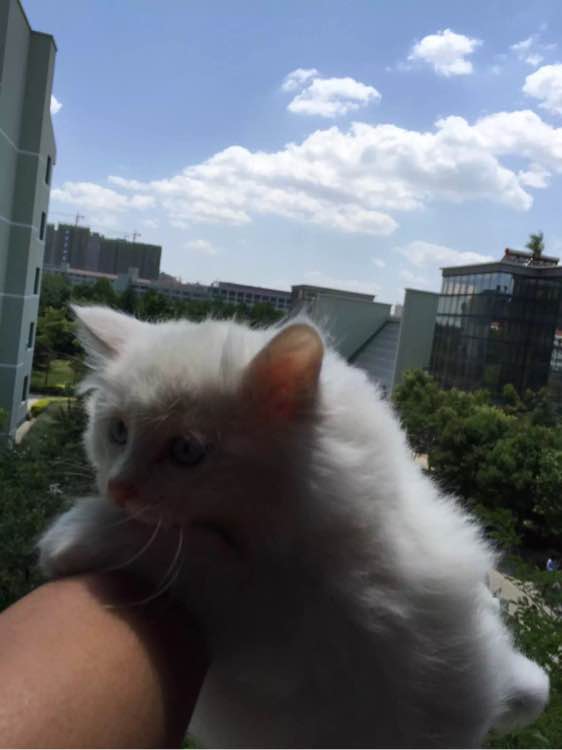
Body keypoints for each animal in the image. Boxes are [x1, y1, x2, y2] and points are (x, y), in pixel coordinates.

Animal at [38, 305, 549, 748]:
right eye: (118, 432)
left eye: (187, 451)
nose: (118, 488)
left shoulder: (287, 625)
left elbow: (189, 553)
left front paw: (74, 535)